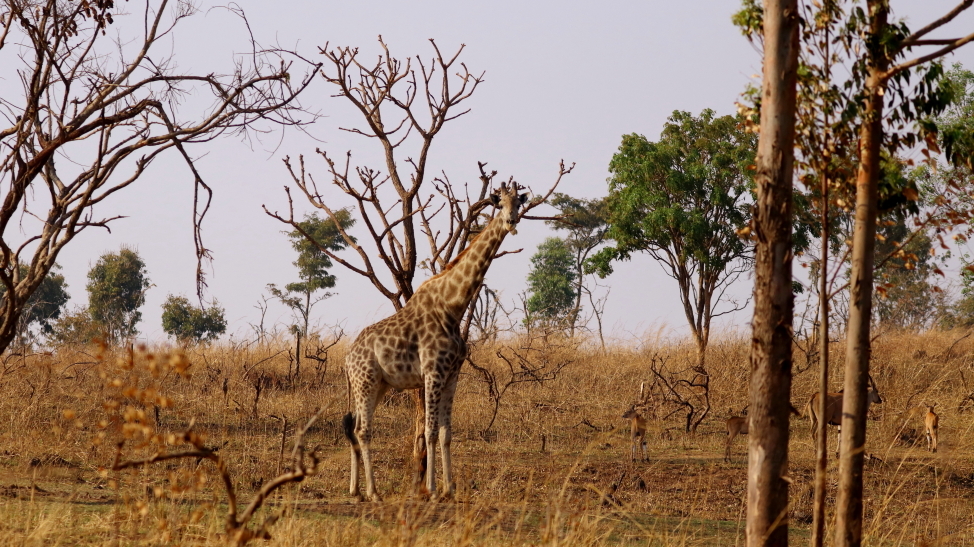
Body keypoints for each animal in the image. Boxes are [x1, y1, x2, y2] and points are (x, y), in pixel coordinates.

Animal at [342, 181, 528, 500]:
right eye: (499, 203)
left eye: (519, 203)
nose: (511, 221)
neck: (453, 307)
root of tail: (347, 357)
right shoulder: (432, 371)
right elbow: (428, 431)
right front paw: (429, 489)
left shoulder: (453, 374)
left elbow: (446, 433)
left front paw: (449, 489)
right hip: (365, 381)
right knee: (364, 430)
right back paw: (373, 492)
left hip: (377, 385)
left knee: (355, 428)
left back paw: (355, 489)